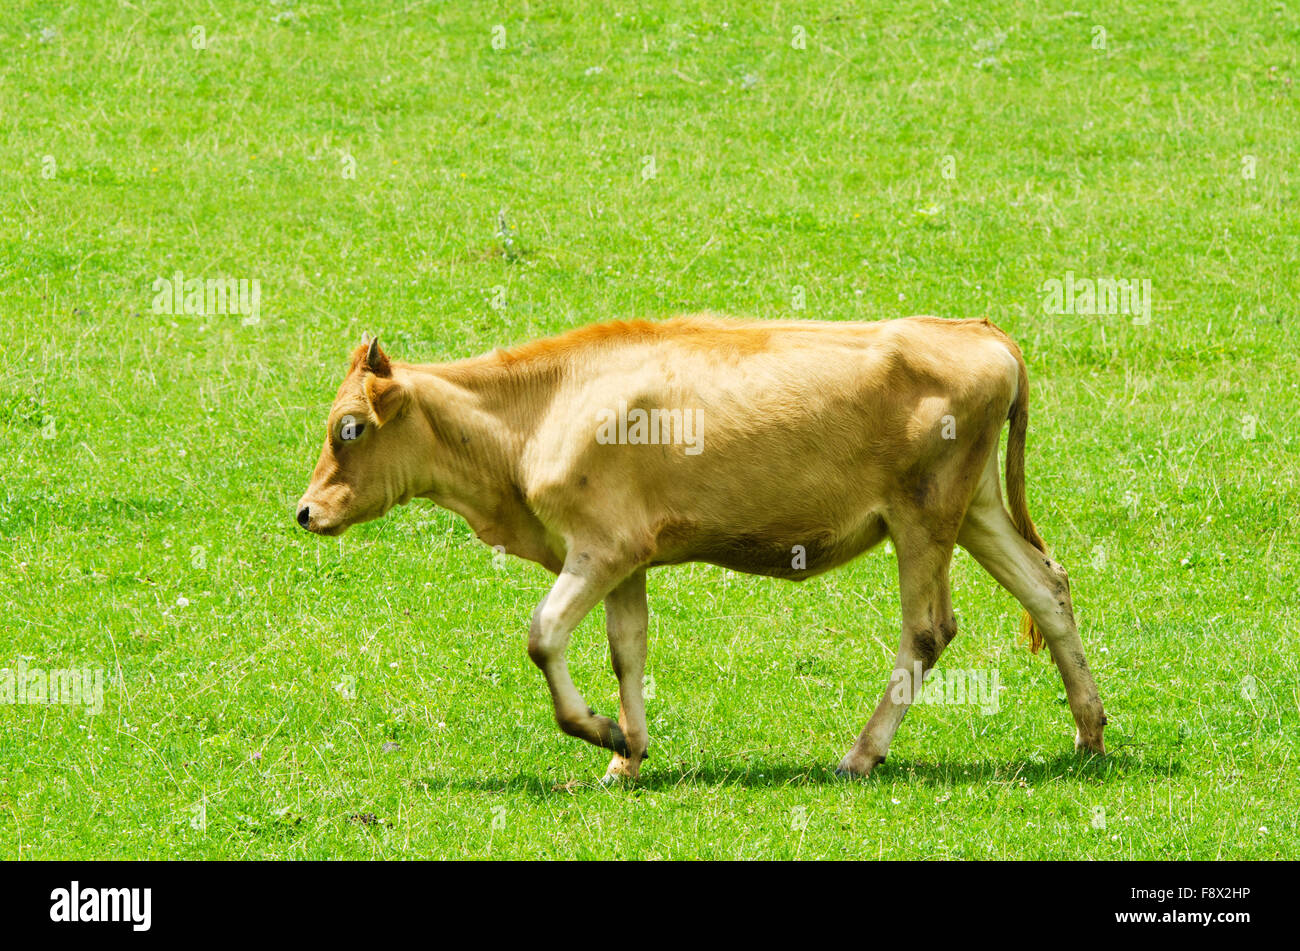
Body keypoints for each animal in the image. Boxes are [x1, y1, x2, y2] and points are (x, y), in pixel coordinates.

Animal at [296, 316, 1106, 782]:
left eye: (350, 427)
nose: (304, 511)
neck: (539, 411)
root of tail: (980, 330)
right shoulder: (625, 558)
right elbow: (628, 651)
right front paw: (627, 755)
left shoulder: (598, 547)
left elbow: (543, 635)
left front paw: (599, 731)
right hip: (974, 508)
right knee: (1048, 586)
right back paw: (1090, 731)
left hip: (925, 515)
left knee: (929, 628)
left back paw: (861, 754)